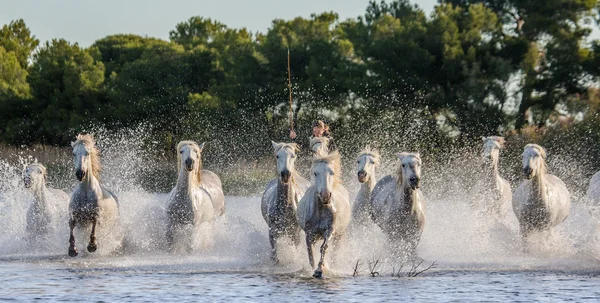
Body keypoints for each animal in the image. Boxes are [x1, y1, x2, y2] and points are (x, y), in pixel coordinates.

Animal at [296, 151, 350, 280]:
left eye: (332, 172)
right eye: (315, 173)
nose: (325, 196)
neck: (321, 210)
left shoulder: (329, 231)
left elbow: (323, 248)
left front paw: (319, 270)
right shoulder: (309, 233)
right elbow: (310, 254)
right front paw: (314, 269)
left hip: (339, 235)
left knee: (335, 251)